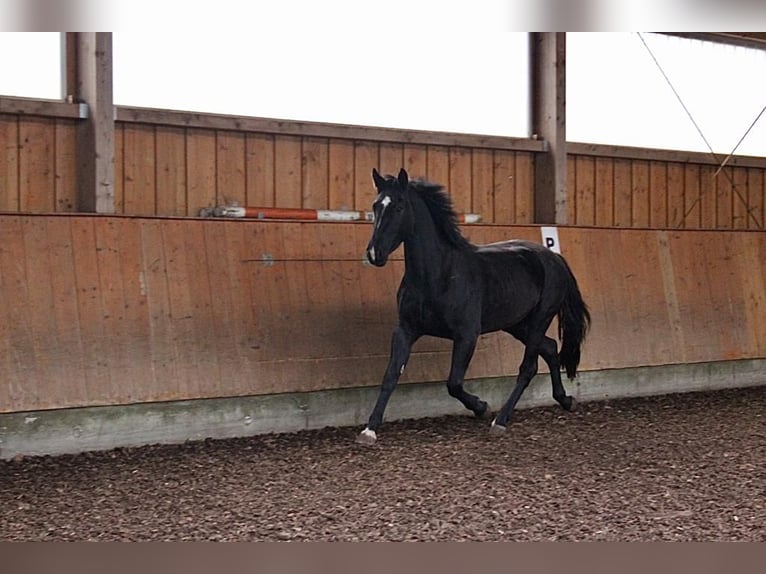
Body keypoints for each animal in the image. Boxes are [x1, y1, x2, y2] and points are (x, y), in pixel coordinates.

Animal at [357, 168, 590, 445]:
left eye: (400, 206)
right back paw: (565, 400)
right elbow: (391, 375)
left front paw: (481, 406)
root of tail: (554, 258)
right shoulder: (406, 330)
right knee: (551, 348)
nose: (374, 254)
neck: (439, 275)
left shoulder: (467, 334)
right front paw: (369, 429)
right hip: (517, 324)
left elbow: (454, 383)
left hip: (539, 320)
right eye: (375, 206)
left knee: (529, 367)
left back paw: (500, 421)